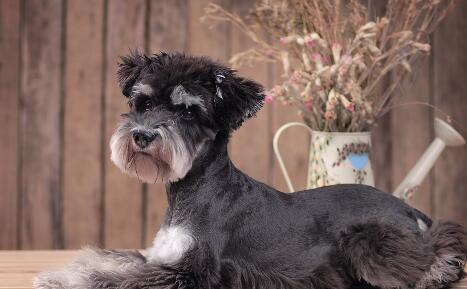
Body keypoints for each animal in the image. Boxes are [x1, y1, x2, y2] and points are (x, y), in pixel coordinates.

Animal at [33, 51, 467, 288]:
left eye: (187, 111)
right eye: (144, 102)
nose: (141, 136)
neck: (192, 190)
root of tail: (408, 209)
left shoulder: (191, 272)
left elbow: (113, 278)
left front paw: (60, 280)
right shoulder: (161, 256)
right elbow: (111, 259)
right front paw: (63, 270)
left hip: (368, 241)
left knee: (429, 253)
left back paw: (436, 271)